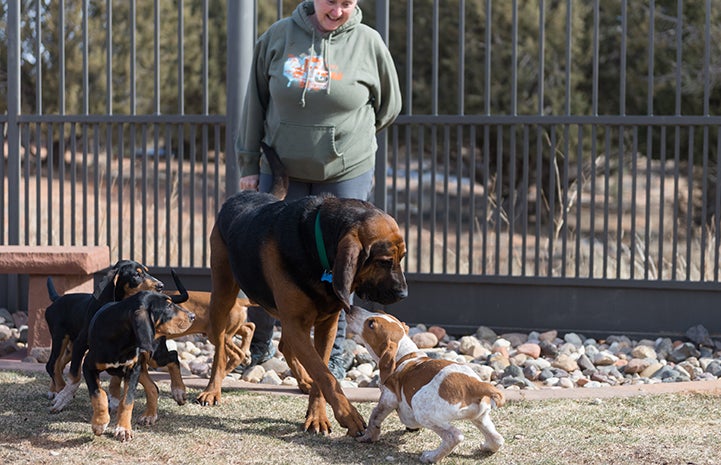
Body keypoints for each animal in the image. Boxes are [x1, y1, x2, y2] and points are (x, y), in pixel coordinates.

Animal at [45, 260, 164, 412]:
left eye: (147, 272)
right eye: (136, 275)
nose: (161, 286)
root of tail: (57, 299)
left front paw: (114, 399)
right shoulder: (80, 344)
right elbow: (75, 376)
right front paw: (63, 397)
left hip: (70, 348)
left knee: (59, 365)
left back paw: (54, 390)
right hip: (60, 338)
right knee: (52, 365)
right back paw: (59, 390)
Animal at [82, 272, 194, 442]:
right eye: (168, 307)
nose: (192, 316)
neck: (121, 340)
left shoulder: (132, 369)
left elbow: (127, 401)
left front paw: (123, 429)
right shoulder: (88, 366)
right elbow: (98, 394)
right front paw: (100, 423)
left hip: (154, 356)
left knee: (173, 357)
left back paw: (178, 390)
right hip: (142, 365)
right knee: (154, 387)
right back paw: (150, 415)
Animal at [197, 143, 408, 436]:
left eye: (402, 257)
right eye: (385, 261)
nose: (403, 294)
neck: (317, 248)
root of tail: (246, 193)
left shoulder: (327, 324)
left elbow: (321, 371)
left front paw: (317, 416)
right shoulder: (297, 322)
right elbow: (325, 374)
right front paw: (348, 415)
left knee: (285, 345)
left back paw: (303, 381)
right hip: (223, 296)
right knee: (220, 348)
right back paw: (212, 390)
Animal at [346, 306, 504, 462]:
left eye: (371, 324)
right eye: (379, 311)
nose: (350, 308)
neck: (405, 356)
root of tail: (474, 384)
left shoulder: (388, 398)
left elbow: (374, 416)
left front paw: (367, 436)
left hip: (421, 407)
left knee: (455, 436)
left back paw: (431, 457)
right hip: (480, 417)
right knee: (497, 439)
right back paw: (486, 447)